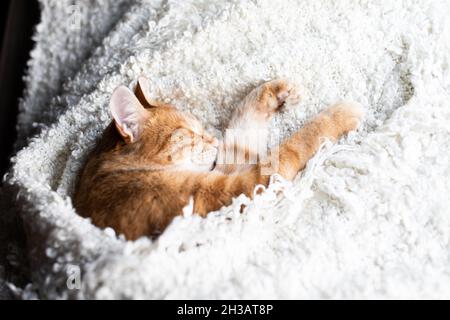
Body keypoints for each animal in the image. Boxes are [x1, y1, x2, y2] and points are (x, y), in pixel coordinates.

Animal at [74, 77, 362, 239]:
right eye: (189, 133)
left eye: (201, 128)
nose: (212, 140)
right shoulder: (238, 190)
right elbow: (295, 145)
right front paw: (341, 114)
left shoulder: (230, 165)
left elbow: (242, 128)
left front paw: (276, 90)